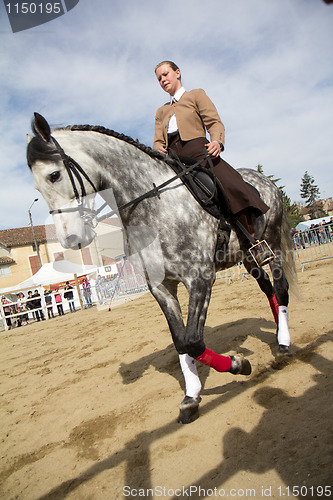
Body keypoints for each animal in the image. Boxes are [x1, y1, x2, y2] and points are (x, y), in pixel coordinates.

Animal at [27, 115, 294, 424]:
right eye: (37, 188)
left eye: (54, 175)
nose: (71, 239)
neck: (154, 204)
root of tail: (263, 180)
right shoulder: (161, 287)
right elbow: (181, 342)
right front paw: (191, 397)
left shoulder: (200, 279)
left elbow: (193, 341)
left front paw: (239, 364)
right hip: (249, 258)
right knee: (268, 289)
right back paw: (277, 333)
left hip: (272, 245)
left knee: (281, 290)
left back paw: (284, 345)